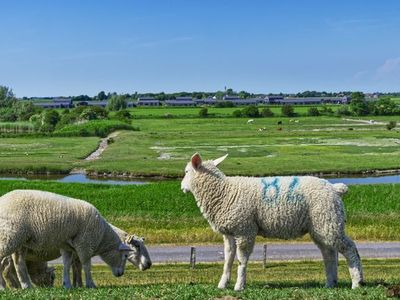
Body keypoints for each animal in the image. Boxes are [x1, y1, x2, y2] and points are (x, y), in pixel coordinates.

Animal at [0, 189, 133, 290]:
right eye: (126, 255)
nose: (121, 274)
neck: (102, 236)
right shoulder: (84, 243)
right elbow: (86, 265)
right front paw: (90, 284)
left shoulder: (67, 247)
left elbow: (66, 265)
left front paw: (67, 285)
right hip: (9, 236)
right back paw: (3, 287)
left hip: (21, 241)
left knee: (19, 262)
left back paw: (26, 286)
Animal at [183, 154, 364, 290]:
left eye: (185, 171)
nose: (181, 187)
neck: (224, 191)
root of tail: (335, 188)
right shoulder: (229, 232)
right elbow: (228, 258)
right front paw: (222, 284)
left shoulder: (244, 230)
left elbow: (242, 259)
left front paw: (239, 286)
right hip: (321, 225)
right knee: (329, 253)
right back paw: (330, 283)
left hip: (329, 220)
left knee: (349, 249)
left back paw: (357, 282)